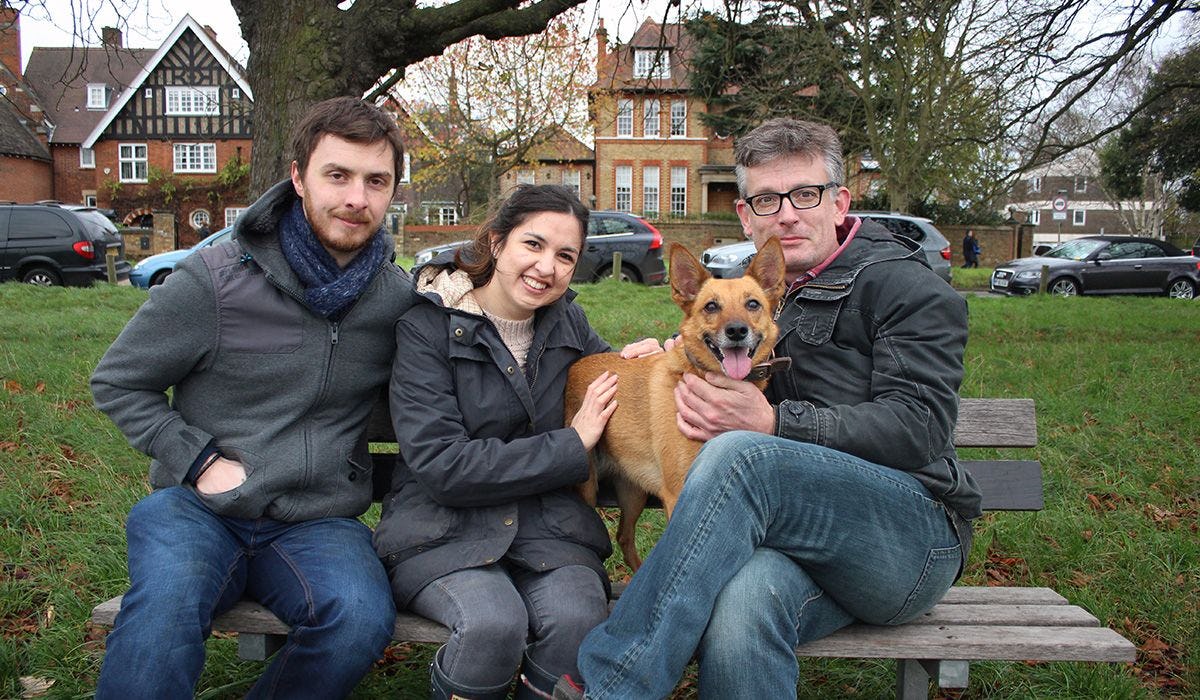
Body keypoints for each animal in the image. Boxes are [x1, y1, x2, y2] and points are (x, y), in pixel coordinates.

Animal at [568, 237, 787, 571]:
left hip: (633, 493)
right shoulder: (678, 495)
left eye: (753, 304)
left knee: (624, 536)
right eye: (711, 306)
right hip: (589, 490)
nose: (737, 331)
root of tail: (575, 367)